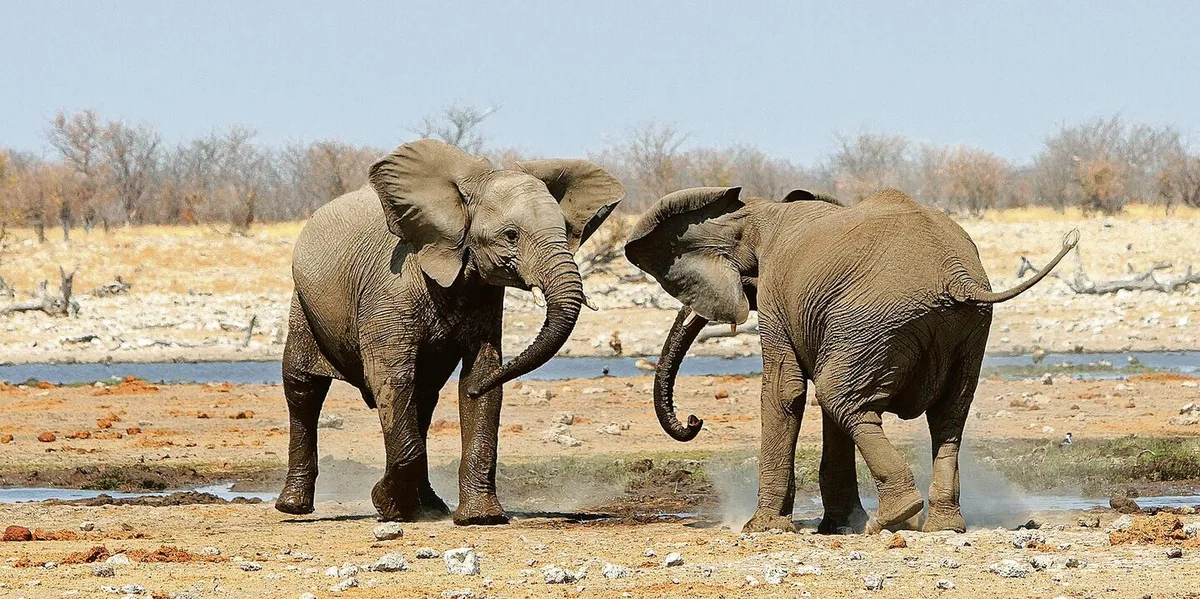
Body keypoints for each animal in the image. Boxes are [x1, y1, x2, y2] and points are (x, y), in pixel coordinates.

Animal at [275, 139, 624, 525]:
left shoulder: (484, 294)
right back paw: (292, 506)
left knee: (424, 398)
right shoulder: (389, 288)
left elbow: (482, 373)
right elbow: (391, 377)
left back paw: (430, 506)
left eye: (565, 232)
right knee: (303, 388)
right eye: (511, 235)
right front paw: (387, 507)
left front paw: (480, 518)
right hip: (302, 303)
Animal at [624, 186, 1078, 534]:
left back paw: (894, 518)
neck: (758, 211)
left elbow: (784, 391)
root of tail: (957, 277)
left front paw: (761, 529)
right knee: (945, 415)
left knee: (840, 396)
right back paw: (942, 526)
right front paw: (837, 526)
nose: (694, 420)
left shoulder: (778, 298)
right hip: (961, 328)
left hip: (879, 318)